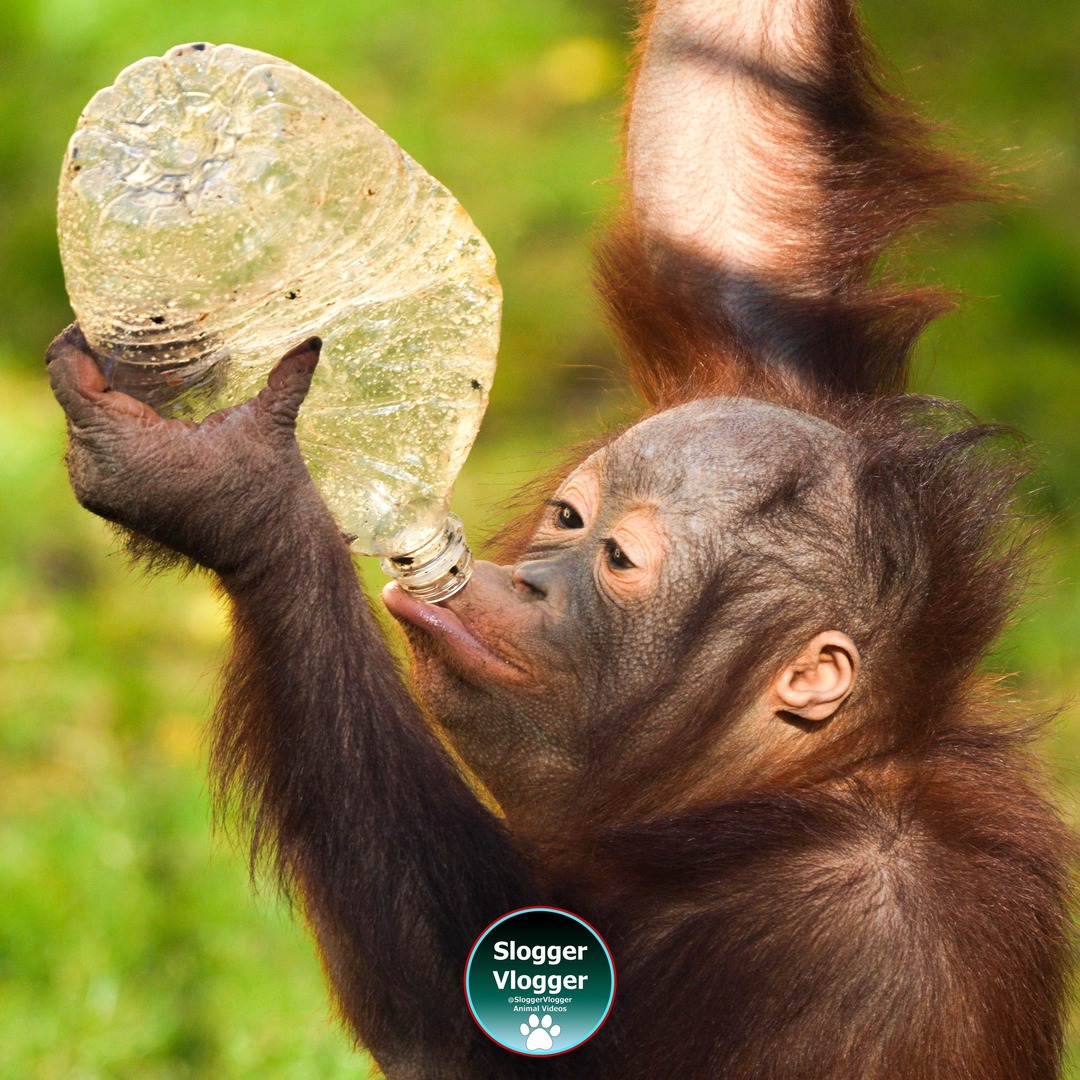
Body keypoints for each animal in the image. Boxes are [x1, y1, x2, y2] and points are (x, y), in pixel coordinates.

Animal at [46, 0, 1073, 1077]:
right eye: (571, 521)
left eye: (616, 563)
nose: (534, 581)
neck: (792, 783)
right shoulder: (769, 373)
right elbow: (717, 158)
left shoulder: (847, 929)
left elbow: (459, 1023)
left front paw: (234, 487)